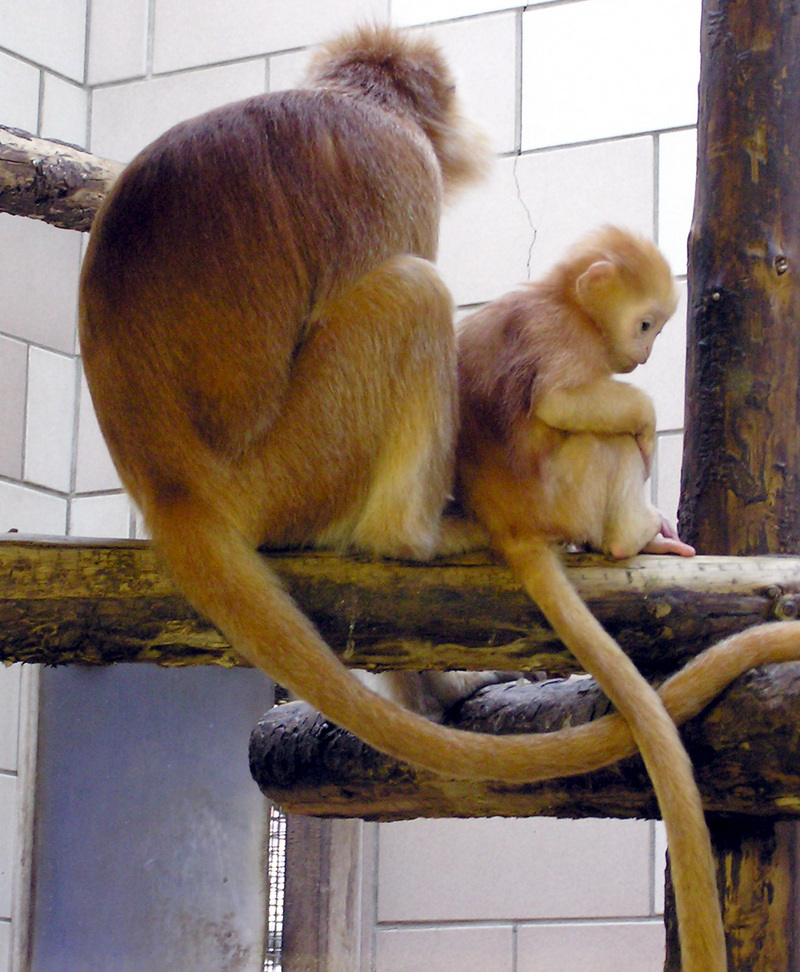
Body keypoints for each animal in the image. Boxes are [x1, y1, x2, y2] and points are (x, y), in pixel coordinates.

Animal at [454, 224, 720, 968]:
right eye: (647, 324)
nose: (643, 354)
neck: (560, 300)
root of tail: (511, 528)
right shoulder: (561, 338)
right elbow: (562, 403)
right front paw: (647, 417)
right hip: (567, 493)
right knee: (608, 444)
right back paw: (634, 535)